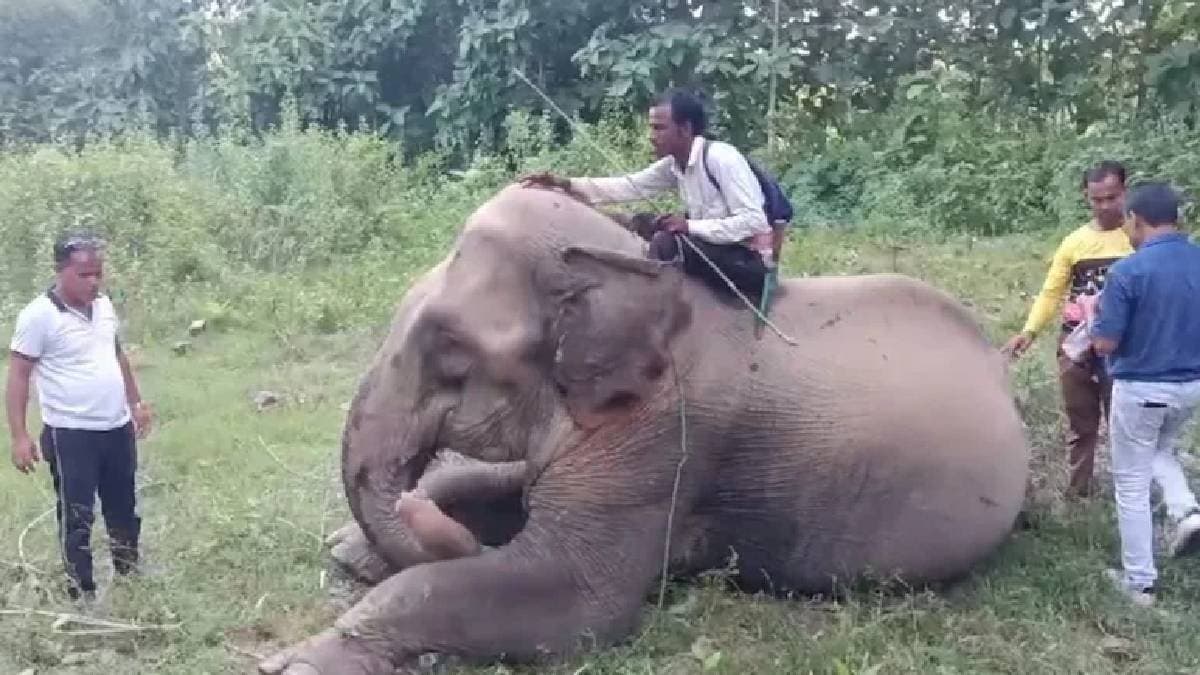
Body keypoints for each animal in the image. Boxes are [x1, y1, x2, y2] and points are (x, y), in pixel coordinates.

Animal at [259, 183, 1030, 674]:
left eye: (450, 347)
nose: (406, 512)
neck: (635, 271)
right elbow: (505, 488)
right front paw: (351, 551)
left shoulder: (666, 435)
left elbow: (576, 597)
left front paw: (297, 662)